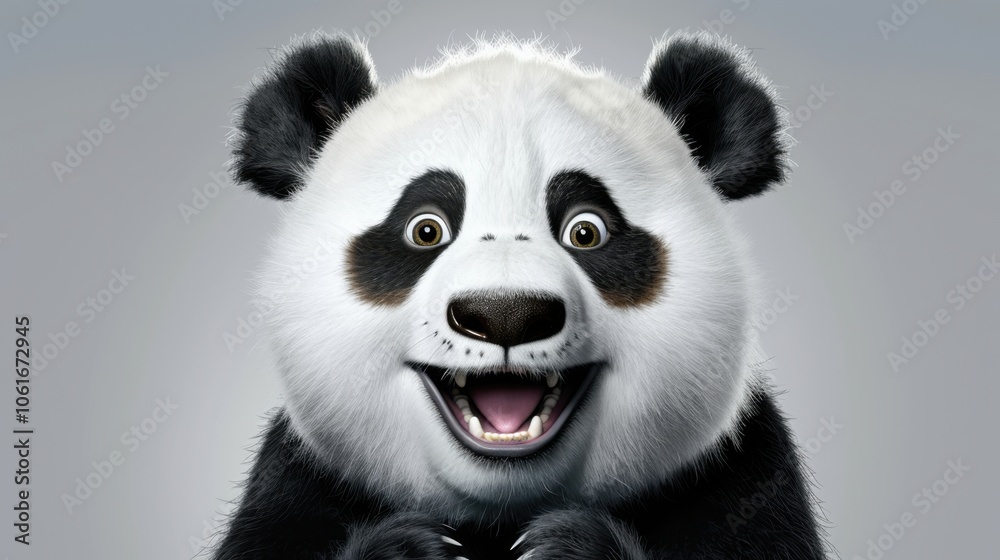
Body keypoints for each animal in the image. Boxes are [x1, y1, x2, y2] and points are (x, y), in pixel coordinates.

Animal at [214, 30, 827, 560]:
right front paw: (414, 548)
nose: (505, 314)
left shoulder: (744, 479)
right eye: (425, 229)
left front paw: (565, 545)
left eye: (586, 230)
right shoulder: (292, 486)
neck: (500, 514)